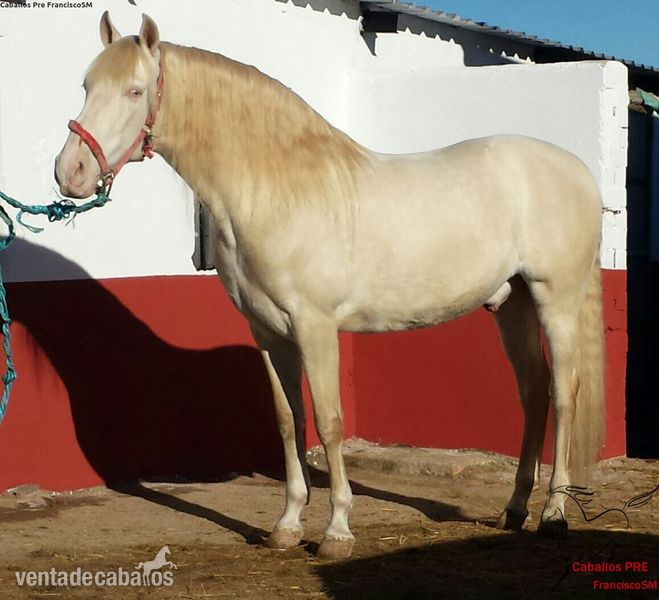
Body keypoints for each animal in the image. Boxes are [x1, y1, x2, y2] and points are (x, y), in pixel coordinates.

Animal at [54, 12, 605, 560]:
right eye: (85, 86)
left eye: (134, 90)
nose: (70, 172)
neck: (276, 188)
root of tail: (578, 171)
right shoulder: (268, 332)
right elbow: (288, 420)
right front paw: (287, 525)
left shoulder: (315, 326)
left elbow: (329, 420)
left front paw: (337, 530)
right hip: (512, 305)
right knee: (532, 393)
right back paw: (514, 510)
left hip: (555, 299)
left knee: (562, 392)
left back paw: (554, 515)